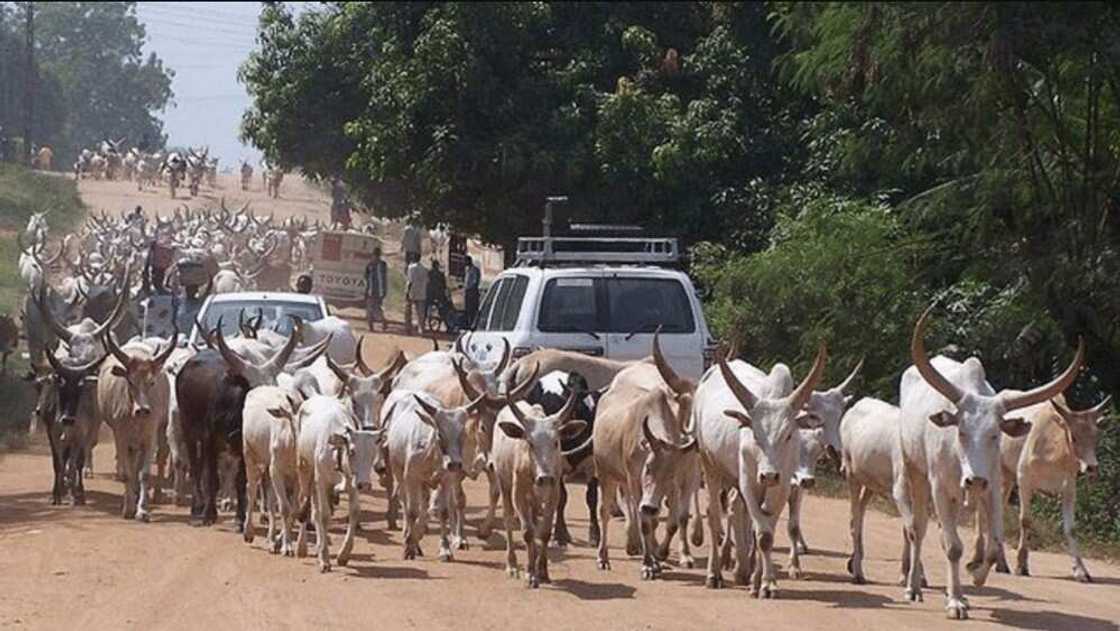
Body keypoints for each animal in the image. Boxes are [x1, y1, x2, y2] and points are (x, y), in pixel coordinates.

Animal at [896, 309, 1079, 618]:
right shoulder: (940, 488)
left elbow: (993, 545)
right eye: (961, 431)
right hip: (915, 471)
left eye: (995, 435)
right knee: (917, 529)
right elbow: (952, 547)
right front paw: (956, 601)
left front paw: (974, 577)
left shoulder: (993, 486)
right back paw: (914, 587)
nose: (975, 480)